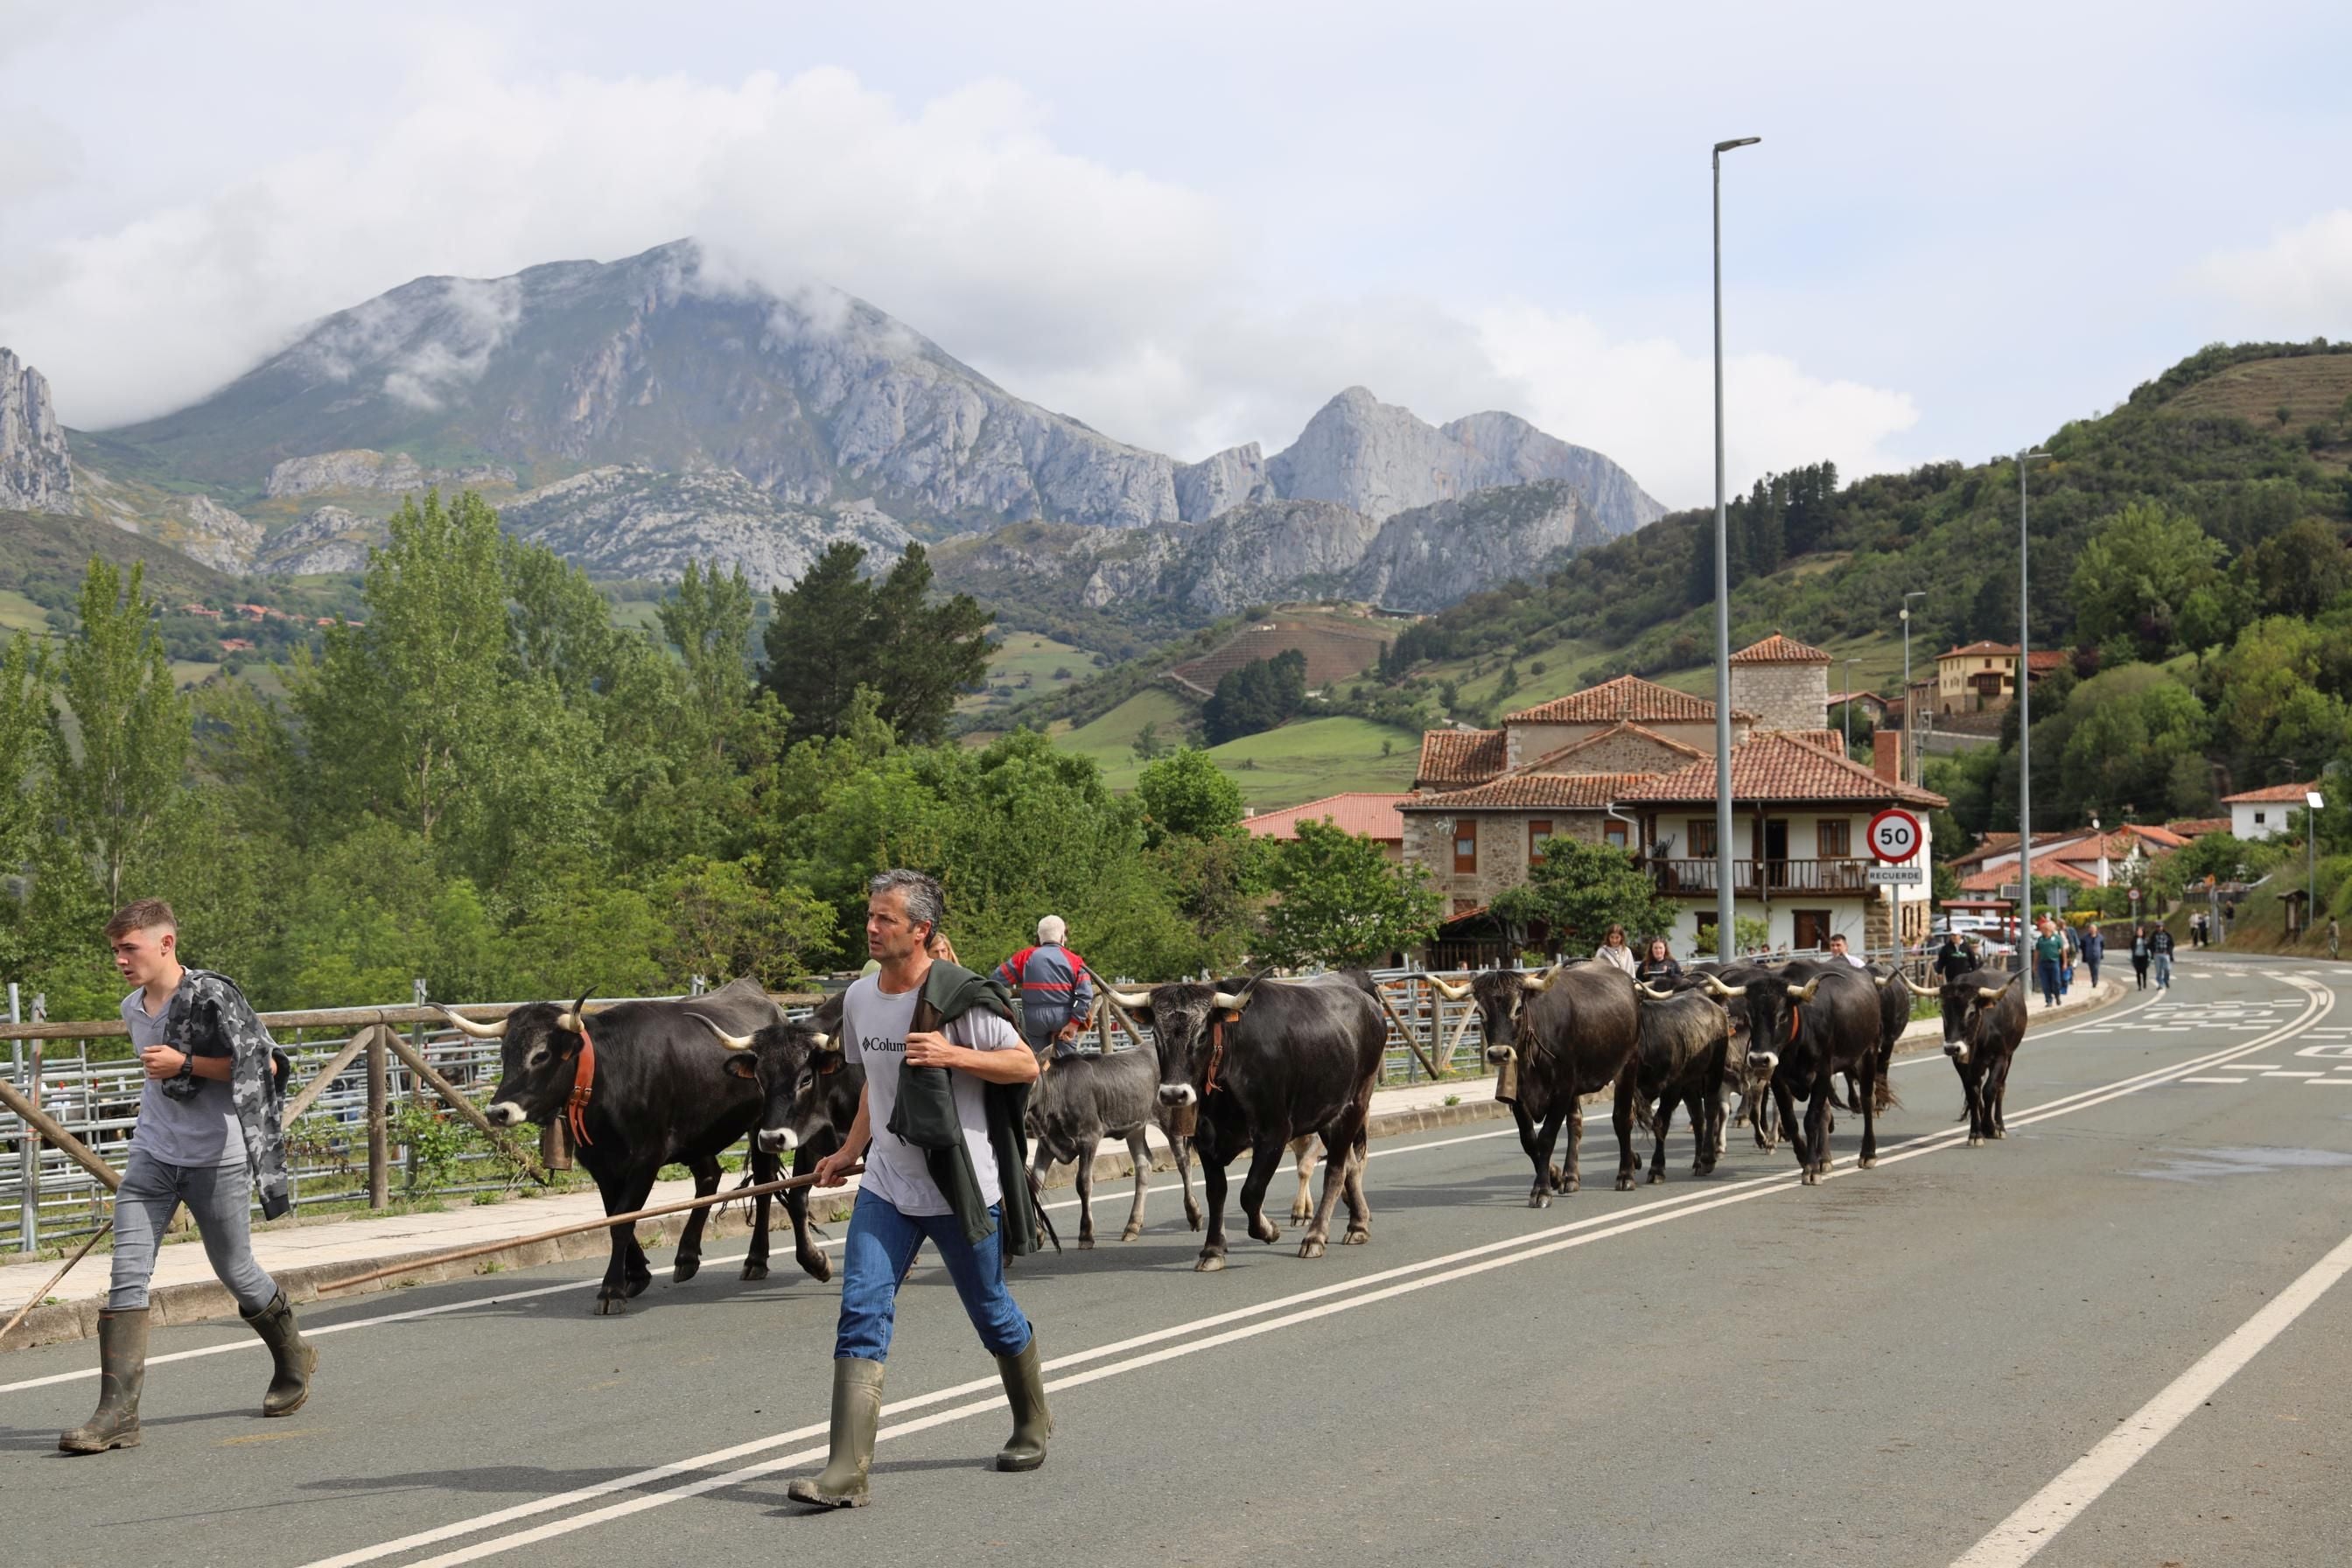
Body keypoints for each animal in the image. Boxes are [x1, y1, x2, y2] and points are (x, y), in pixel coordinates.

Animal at [444, 983, 794, 1316]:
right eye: (504, 1053)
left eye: (541, 1055)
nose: (497, 1112)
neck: (607, 1077)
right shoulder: (601, 1163)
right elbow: (613, 1216)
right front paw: (636, 1275)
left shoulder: (646, 1158)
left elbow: (624, 1221)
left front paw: (611, 1290)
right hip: (696, 1135)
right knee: (709, 1176)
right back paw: (686, 1256)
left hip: (759, 1129)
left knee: (763, 1185)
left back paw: (755, 1261)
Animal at [1105, 968, 1382, 1278]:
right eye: (1156, 1034)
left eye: (1202, 1034)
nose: (1174, 1094)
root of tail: (1356, 985)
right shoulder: (1205, 1141)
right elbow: (1216, 1194)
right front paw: (1213, 1250)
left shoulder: (1274, 1134)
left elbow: (1250, 1193)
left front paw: (1269, 1229)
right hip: (1328, 1115)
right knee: (1350, 1165)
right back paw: (1358, 1224)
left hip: (1354, 1106)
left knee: (1335, 1170)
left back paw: (1316, 1237)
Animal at [1420, 963, 1646, 1213]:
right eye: (1480, 1012)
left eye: (1518, 1009)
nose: (1499, 1054)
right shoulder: (1519, 1098)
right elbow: (1529, 1140)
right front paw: (1554, 1176)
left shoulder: (1562, 1090)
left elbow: (1547, 1137)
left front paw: (1541, 1191)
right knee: (1576, 1123)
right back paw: (1570, 1177)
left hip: (1628, 1065)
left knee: (1622, 1118)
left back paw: (1626, 1174)